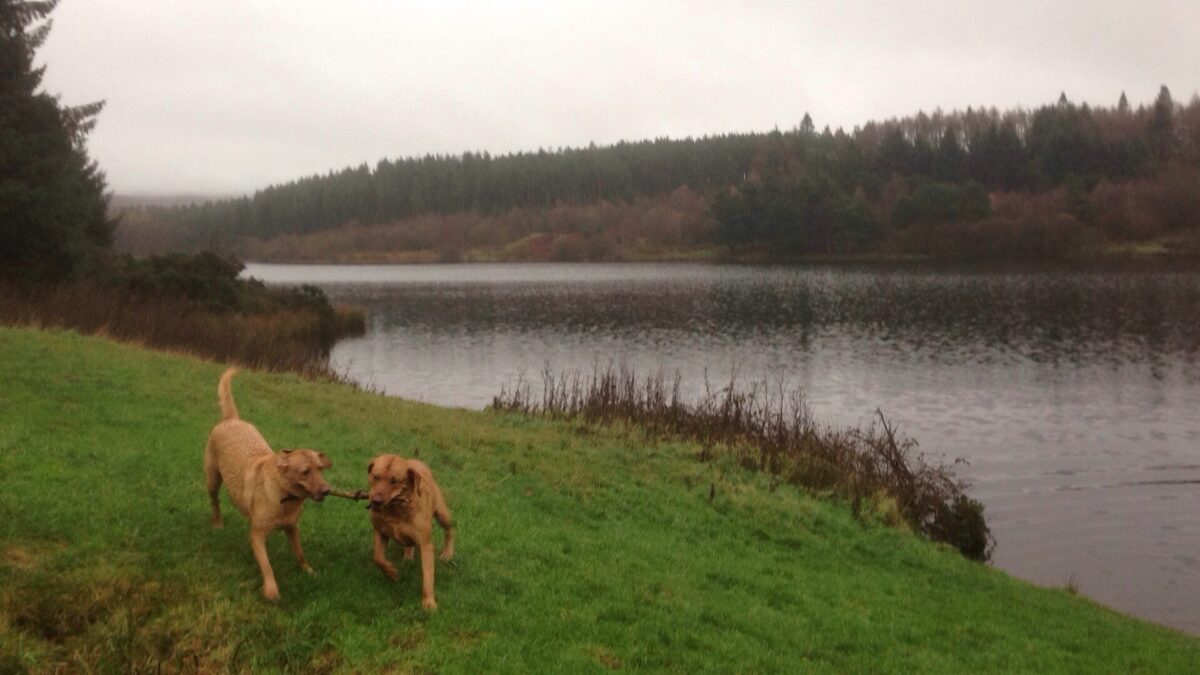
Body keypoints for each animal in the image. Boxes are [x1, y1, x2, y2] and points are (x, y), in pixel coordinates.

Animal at [201, 367, 333, 598]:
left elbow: (299, 553)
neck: (285, 496)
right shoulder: (257, 535)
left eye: (320, 469)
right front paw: (271, 590)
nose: (327, 490)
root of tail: (231, 419)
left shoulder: (292, 527)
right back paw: (217, 523)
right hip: (213, 478)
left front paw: (309, 571)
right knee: (214, 501)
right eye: (305, 472)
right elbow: (267, 565)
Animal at [364, 454, 453, 607]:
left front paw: (429, 601)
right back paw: (408, 557)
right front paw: (391, 572)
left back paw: (448, 553)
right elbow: (378, 558)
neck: (396, 510)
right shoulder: (380, 532)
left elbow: (428, 575)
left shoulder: (425, 544)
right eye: (376, 477)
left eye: (394, 481)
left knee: (450, 530)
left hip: (442, 514)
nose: (376, 500)